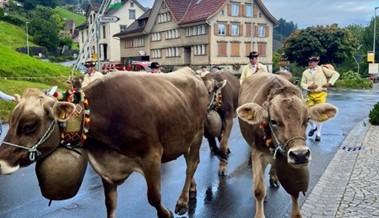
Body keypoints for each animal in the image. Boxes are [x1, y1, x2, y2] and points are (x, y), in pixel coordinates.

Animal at [0, 66, 209, 218]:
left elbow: (154, 198)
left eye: (28, 126)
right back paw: (191, 189)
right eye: (10, 121)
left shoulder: (152, 155)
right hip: (181, 135)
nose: (0, 163)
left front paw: (167, 213)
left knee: (192, 163)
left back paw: (182, 202)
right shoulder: (106, 167)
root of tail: (191, 72)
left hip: (198, 132)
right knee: (189, 160)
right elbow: (110, 203)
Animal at [238, 73, 338, 218]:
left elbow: (295, 191)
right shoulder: (257, 151)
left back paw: (274, 178)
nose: (300, 154)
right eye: (273, 121)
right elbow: (259, 189)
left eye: (307, 119)